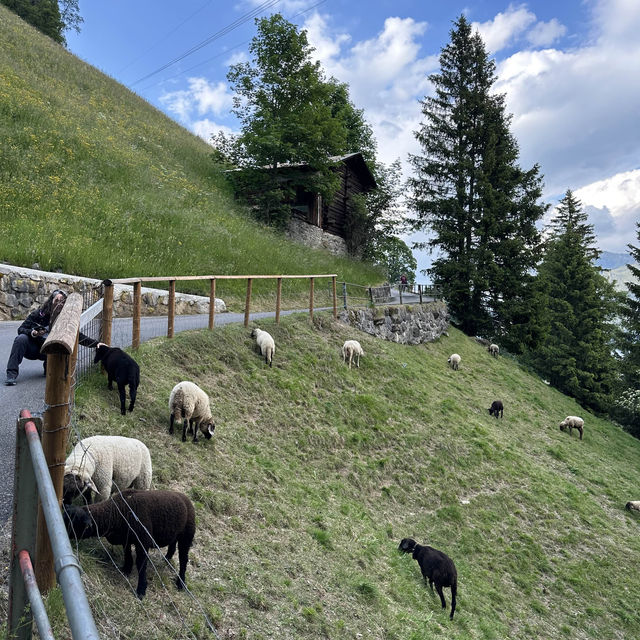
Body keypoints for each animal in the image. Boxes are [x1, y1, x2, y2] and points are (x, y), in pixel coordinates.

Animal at [64, 490, 196, 600]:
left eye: (73, 522)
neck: (116, 513)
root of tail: (186, 498)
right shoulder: (126, 538)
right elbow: (127, 554)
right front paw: (126, 569)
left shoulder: (143, 541)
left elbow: (141, 564)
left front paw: (141, 590)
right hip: (175, 533)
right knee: (172, 545)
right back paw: (167, 559)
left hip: (187, 535)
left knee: (183, 559)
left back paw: (181, 583)